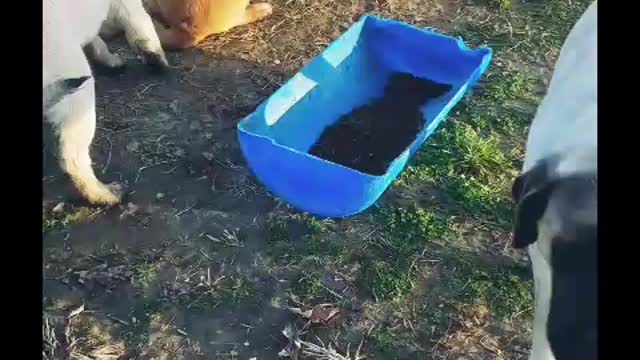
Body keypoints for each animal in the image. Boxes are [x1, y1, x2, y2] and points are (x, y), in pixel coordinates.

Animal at [43, 0, 171, 205]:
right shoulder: (129, 6)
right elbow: (143, 27)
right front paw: (157, 60)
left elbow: (97, 42)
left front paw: (110, 59)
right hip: (79, 97)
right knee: (72, 159)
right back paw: (107, 194)